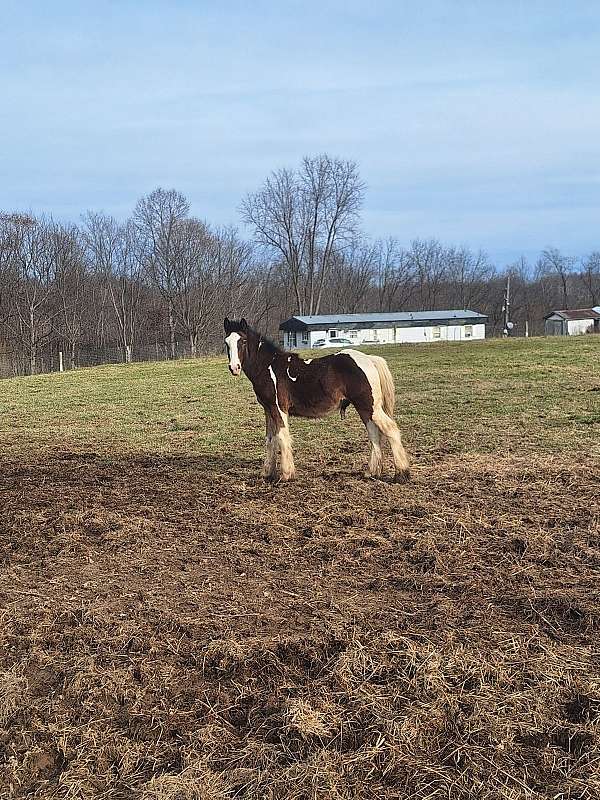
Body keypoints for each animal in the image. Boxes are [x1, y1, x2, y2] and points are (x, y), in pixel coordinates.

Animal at [223, 318, 410, 482]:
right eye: (226, 343)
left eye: (243, 341)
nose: (234, 368)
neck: (269, 367)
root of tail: (369, 359)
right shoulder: (268, 409)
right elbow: (270, 439)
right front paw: (267, 473)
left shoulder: (279, 408)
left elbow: (282, 437)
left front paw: (286, 475)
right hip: (365, 409)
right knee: (374, 434)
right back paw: (372, 472)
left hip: (371, 407)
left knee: (391, 430)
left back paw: (401, 474)